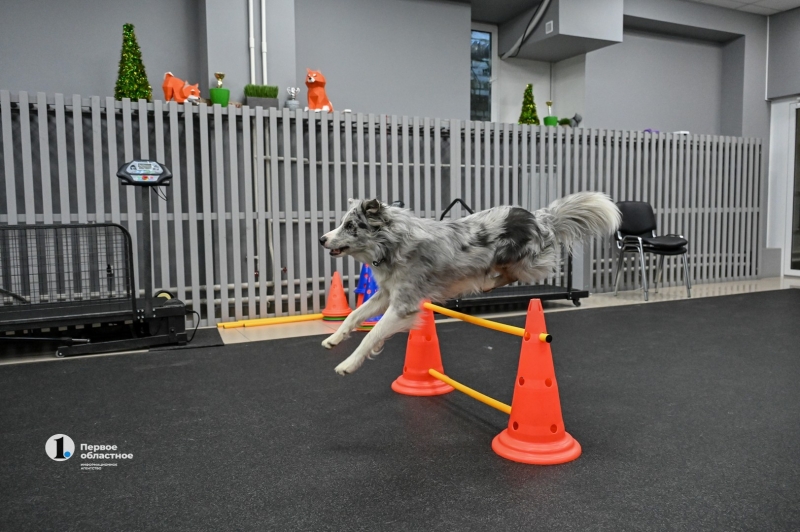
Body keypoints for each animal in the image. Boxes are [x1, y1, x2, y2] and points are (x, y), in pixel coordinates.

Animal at [318, 191, 620, 374]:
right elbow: (354, 315)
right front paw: (333, 339)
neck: (392, 243)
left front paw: (348, 364)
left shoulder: (403, 305)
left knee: (516, 273)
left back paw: (485, 283)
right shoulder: (386, 293)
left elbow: (372, 334)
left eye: (350, 226)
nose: (321, 239)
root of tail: (539, 217)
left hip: (523, 262)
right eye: (342, 223)